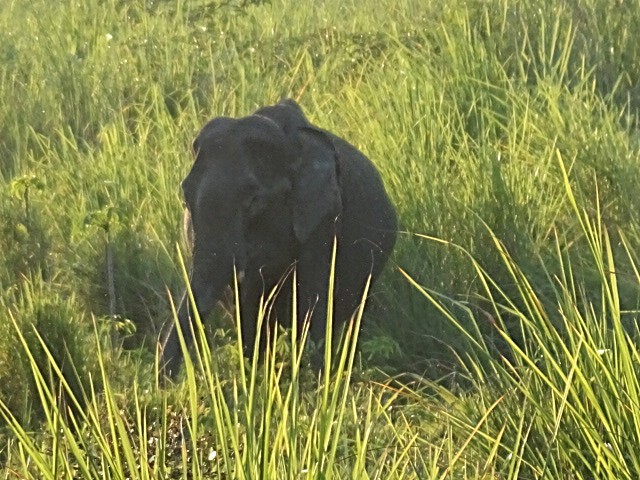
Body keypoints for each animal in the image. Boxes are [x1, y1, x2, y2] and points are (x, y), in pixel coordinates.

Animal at [159, 99, 397, 377]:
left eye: (253, 201)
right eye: (185, 197)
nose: (167, 381)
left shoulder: (324, 219)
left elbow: (313, 302)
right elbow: (248, 311)